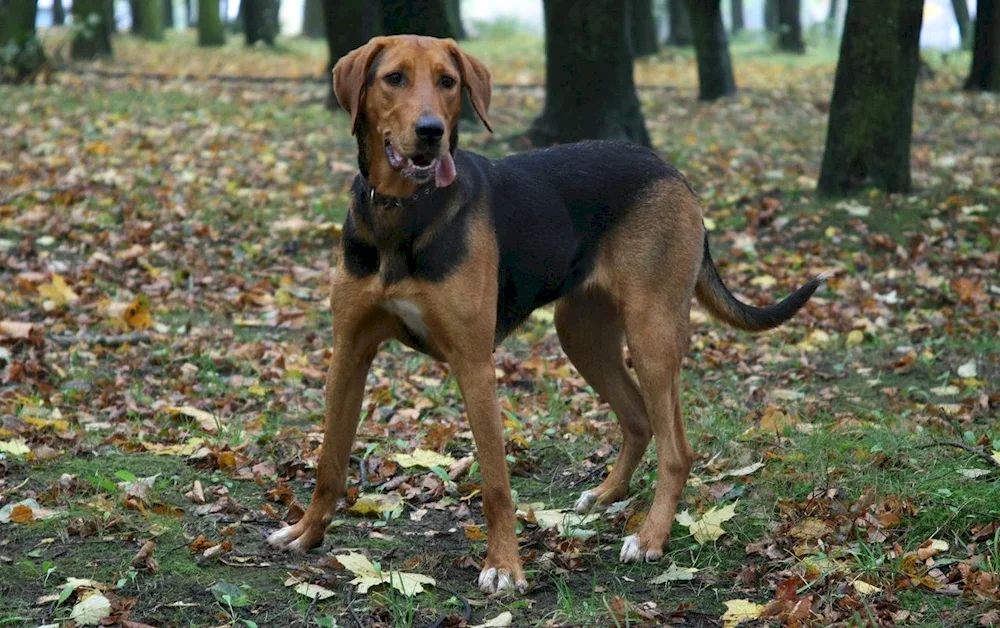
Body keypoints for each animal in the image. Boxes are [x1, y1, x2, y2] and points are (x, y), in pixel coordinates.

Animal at [268, 34, 820, 592]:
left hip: (652, 334)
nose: (431, 133)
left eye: (448, 81)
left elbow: (496, 484)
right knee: (639, 420)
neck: (402, 215)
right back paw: (605, 494)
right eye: (394, 78)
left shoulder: (474, 362)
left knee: (676, 450)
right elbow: (329, 461)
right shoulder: (350, 350)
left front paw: (504, 567)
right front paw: (307, 532)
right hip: (582, 334)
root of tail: (674, 173)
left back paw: (651, 537)